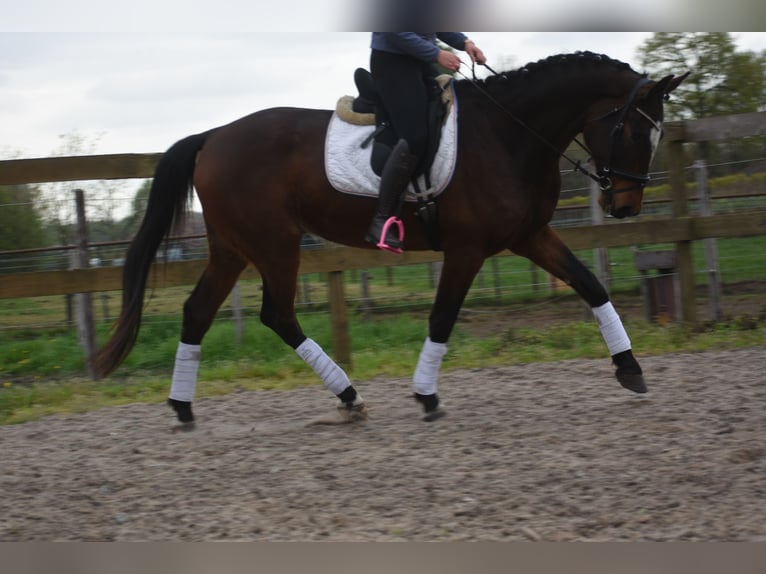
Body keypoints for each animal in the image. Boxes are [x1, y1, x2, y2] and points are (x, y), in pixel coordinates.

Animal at [94, 51, 687, 428]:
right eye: (635, 129)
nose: (627, 206)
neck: (507, 134)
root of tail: (213, 136)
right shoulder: (468, 249)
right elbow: (443, 317)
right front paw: (426, 396)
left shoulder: (530, 236)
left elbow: (591, 286)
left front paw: (630, 369)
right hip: (274, 245)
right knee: (277, 315)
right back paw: (349, 396)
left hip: (232, 249)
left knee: (197, 312)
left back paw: (183, 408)